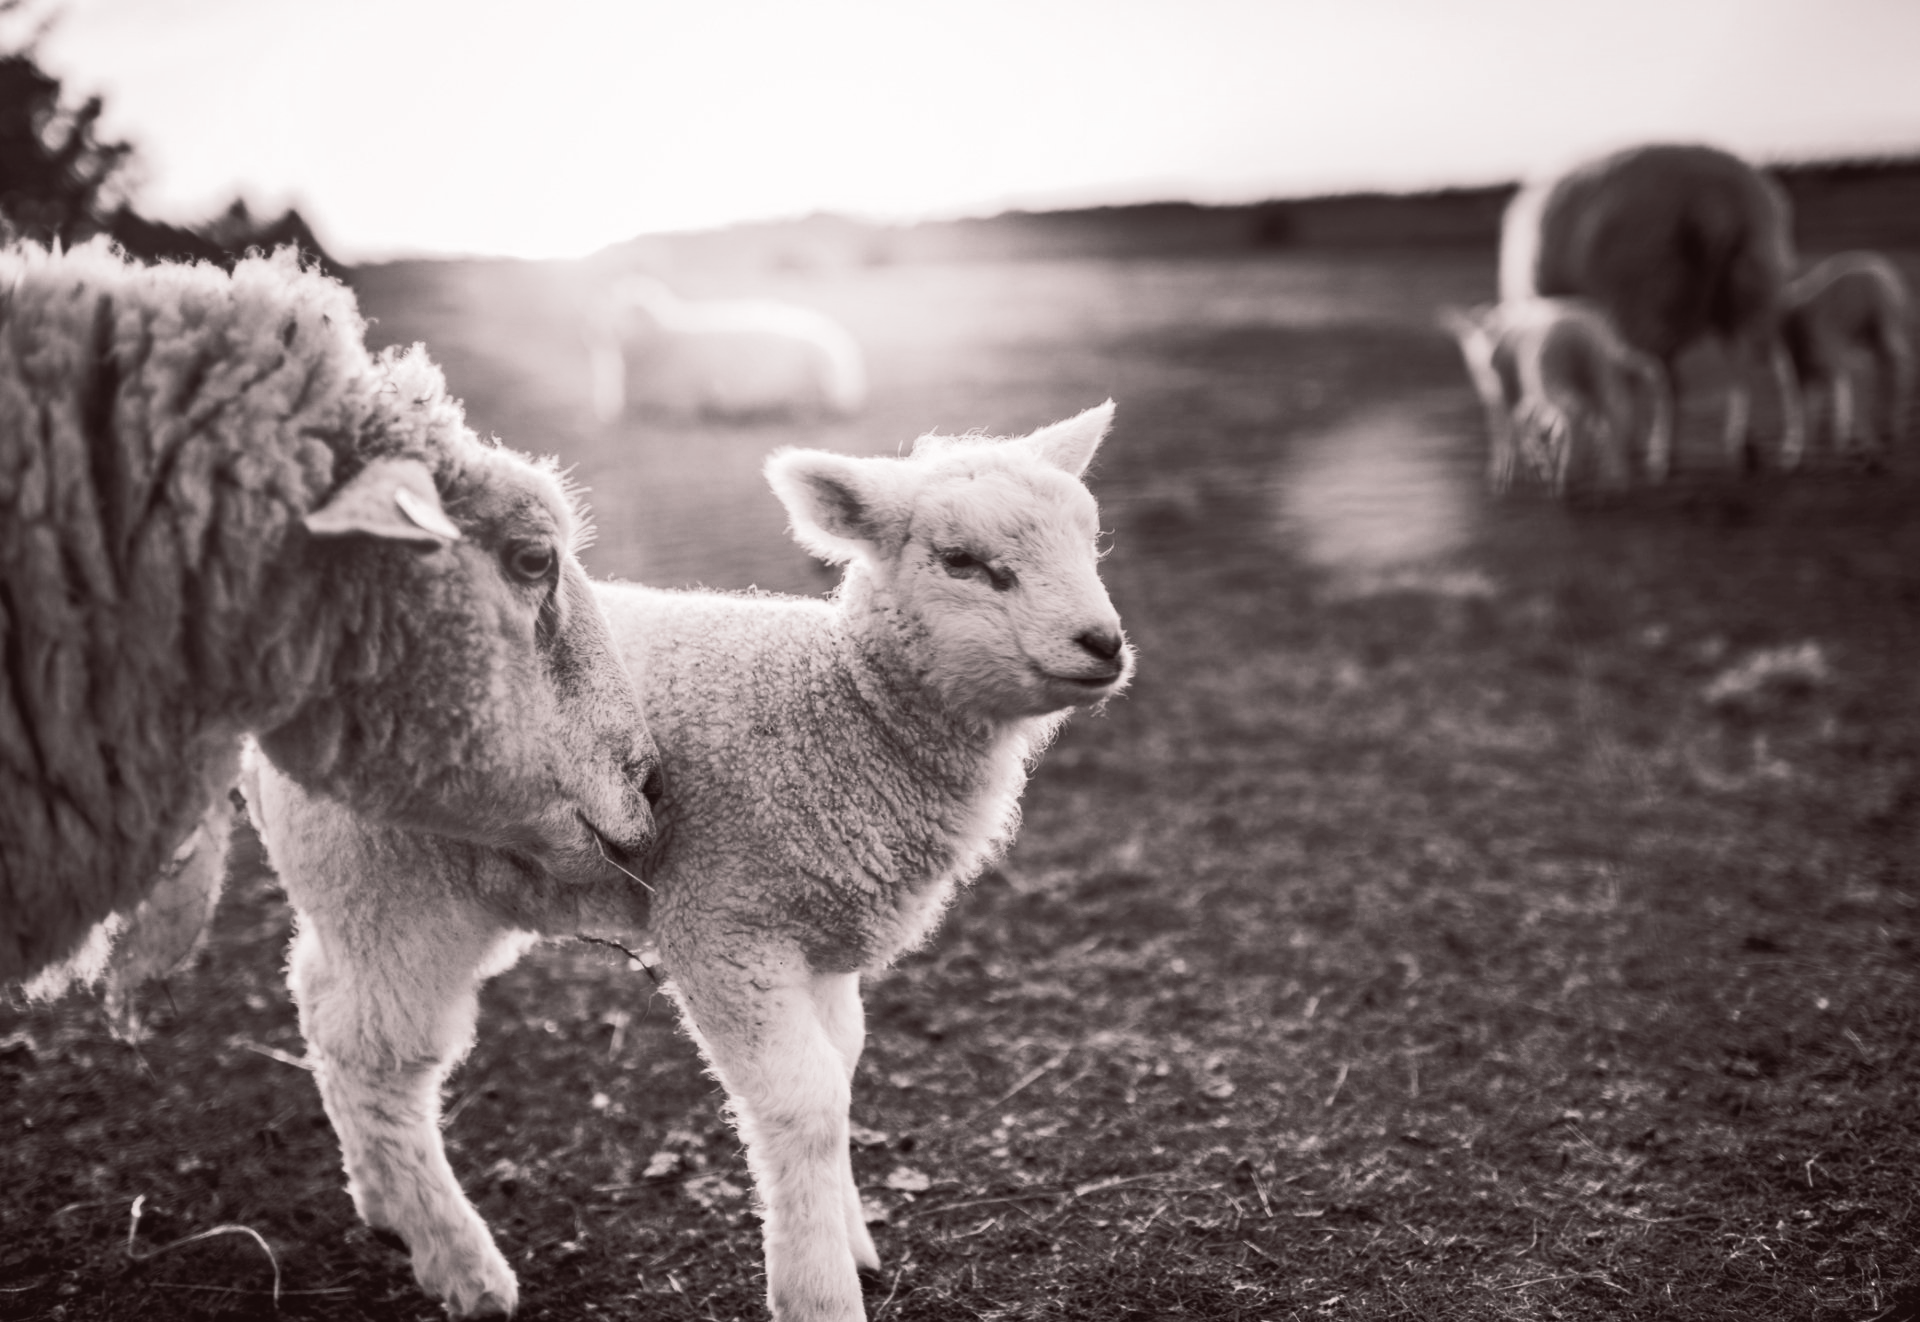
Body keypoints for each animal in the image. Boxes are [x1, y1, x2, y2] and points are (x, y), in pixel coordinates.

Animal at [245, 402, 1134, 1319]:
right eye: (960, 561)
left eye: (1091, 540)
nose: (1103, 643)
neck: (842, 711)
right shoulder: (725, 923)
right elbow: (805, 1102)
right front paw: (817, 1290)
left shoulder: (816, 933)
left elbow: (842, 1067)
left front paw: (847, 1239)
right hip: (396, 892)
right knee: (378, 1058)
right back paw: (462, 1265)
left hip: (364, 894)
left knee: (324, 1003)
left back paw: (382, 1203)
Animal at [586, 273, 868, 423]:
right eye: (608, 308)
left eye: (631, 312)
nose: (597, 332)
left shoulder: (678, 402)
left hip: (822, 383)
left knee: (820, 407)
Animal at [1444, 298, 1671, 496]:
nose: (1488, 363)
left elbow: (1506, 435)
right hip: (1602, 376)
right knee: (1619, 411)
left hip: (1578, 374)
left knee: (1600, 410)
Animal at [1500, 142, 1803, 474]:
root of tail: (1714, 207)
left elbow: (1615, 385)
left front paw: (1614, 444)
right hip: (1749, 286)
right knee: (1767, 366)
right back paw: (1759, 446)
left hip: (1646, 295)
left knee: (1669, 383)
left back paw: (1663, 456)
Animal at [1780, 251, 1914, 460]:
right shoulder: (1803, 370)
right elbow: (1803, 406)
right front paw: (1800, 451)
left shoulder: (1832, 356)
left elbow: (1839, 395)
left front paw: (1852, 444)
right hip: (1869, 334)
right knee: (1887, 365)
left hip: (1882, 323)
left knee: (1897, 362)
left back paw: (1891, 429)